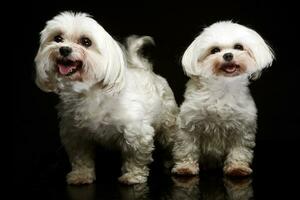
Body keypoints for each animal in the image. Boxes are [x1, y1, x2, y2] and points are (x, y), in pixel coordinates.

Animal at [34, 11, 178, 185]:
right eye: (58, 38)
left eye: (86, 42)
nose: (64, 49)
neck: (88, 92)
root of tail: (146, 70)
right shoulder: (75, 135)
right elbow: (81, 158)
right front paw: (81, 175)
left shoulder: (136, 133)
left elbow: (135, 157)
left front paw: (132, 176)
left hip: (168, 124)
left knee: (171, 141)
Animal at [171, 20, 274, 177]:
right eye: (214, 50)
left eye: (238, 47)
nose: (228, 55)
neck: (223, 86)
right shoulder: (188, 125)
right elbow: (187, 147)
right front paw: (185, 167)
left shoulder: (242, 129)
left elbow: (239, 150)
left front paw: (237, 167)